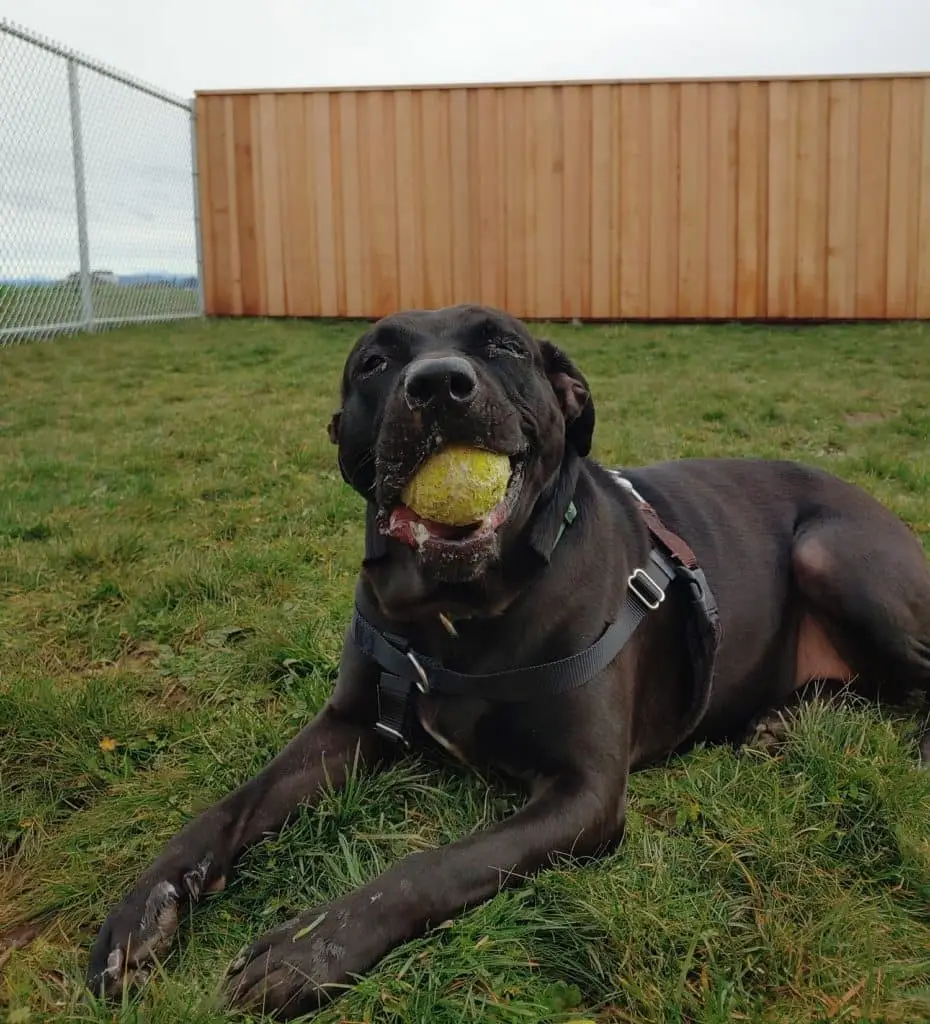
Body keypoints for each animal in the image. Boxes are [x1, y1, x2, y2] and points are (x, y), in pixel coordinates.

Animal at [87, 301, 930, 1015]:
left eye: (504, 345)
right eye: (374, 361)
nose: (439, 386)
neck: (457, 612)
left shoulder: (584, 794)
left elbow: (434, 865)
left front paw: (310, 947)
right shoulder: (351, 721)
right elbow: (234, 803)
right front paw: (141, 910)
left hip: (831, 550)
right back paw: (786, 719)